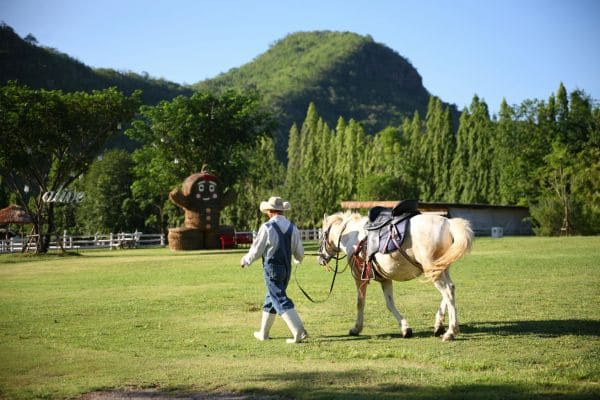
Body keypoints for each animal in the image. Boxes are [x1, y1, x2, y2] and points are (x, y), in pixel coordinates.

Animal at [318, 209, 474, 340]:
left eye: (322, 236)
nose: (320, 259)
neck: (354, 238)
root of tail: (448, 223)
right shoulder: (385, 279)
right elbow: (390, 303)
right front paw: (405, 329)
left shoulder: (359, 278)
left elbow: (360, 303)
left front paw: (356, 328)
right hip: (441, 268)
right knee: (450, 289)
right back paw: (439, 325)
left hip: (432, 269)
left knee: (447, 292)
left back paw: (451, 332)